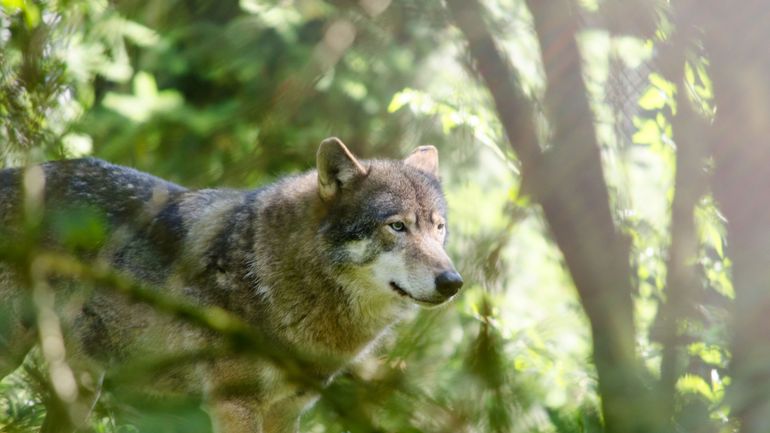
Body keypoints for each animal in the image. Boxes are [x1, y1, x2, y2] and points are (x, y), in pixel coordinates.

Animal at [0, 138, 462, 432]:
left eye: (438, 228)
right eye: (397, 226)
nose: (453, 281)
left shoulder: (287, 412)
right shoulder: (235, 404)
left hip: (79, 385)